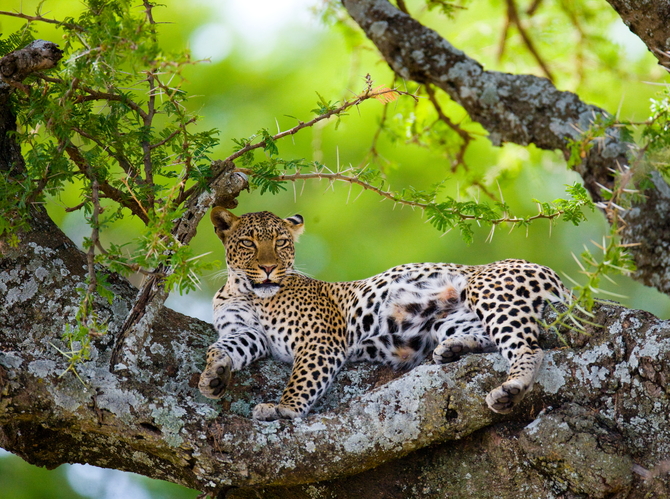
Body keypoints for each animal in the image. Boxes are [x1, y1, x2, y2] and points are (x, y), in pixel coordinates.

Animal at [201, 208, 572, 422]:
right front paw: (213, 376)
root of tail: (556, 275)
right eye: (248, 243)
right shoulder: (247, 333)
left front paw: (284, 408)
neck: (246, 292)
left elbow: (303, 378)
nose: (268, 268)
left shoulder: (319, 342)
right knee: (489, 338)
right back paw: (453, 349)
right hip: (447, 318)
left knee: (528, 347)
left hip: (489, 290)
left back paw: (511, 389)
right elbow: (221, 347)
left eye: (281, 243)